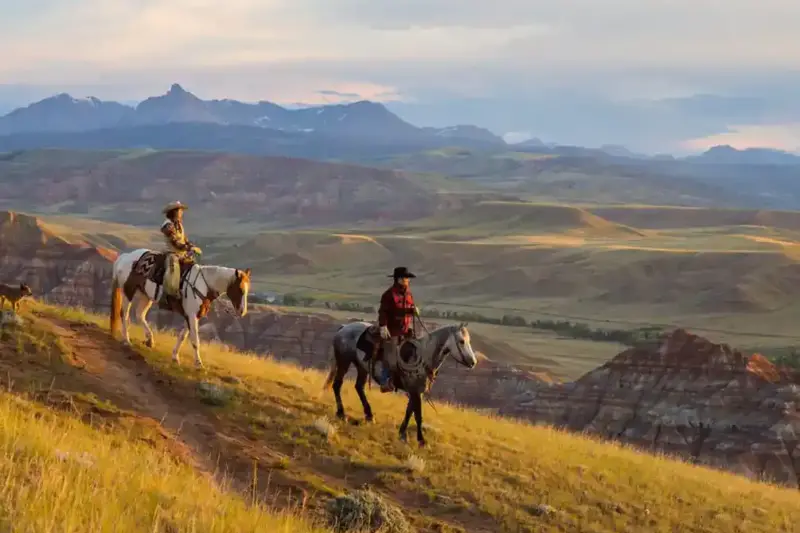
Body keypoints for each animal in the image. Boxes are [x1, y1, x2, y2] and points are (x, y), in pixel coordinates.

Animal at [107, 247, 250, 368]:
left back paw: (149, 339)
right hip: (128, 292)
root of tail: (125, 257)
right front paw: (198, 364)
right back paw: (127, 340)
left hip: (145, 296)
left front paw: (175, 357)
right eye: (241, 290)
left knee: (139, 314)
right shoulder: (192, 316)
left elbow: (183, 336)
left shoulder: (190, 316)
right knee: (125, 315)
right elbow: (195, 340)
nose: (242, 311)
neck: (203, 285)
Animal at [322, 320, 478, 444]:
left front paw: (402, 434)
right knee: (337, 385)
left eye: (469, 341)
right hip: (344, 362)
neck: (422, 356)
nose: (473, 362)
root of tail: (344, 328)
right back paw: (341, 413)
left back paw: (369, 415)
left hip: (362, 367)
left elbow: (410, 411)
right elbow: (418, 415)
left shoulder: (417, 391)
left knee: (359, 387)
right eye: (461, 341)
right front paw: (421, 440)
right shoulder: (415, 391)